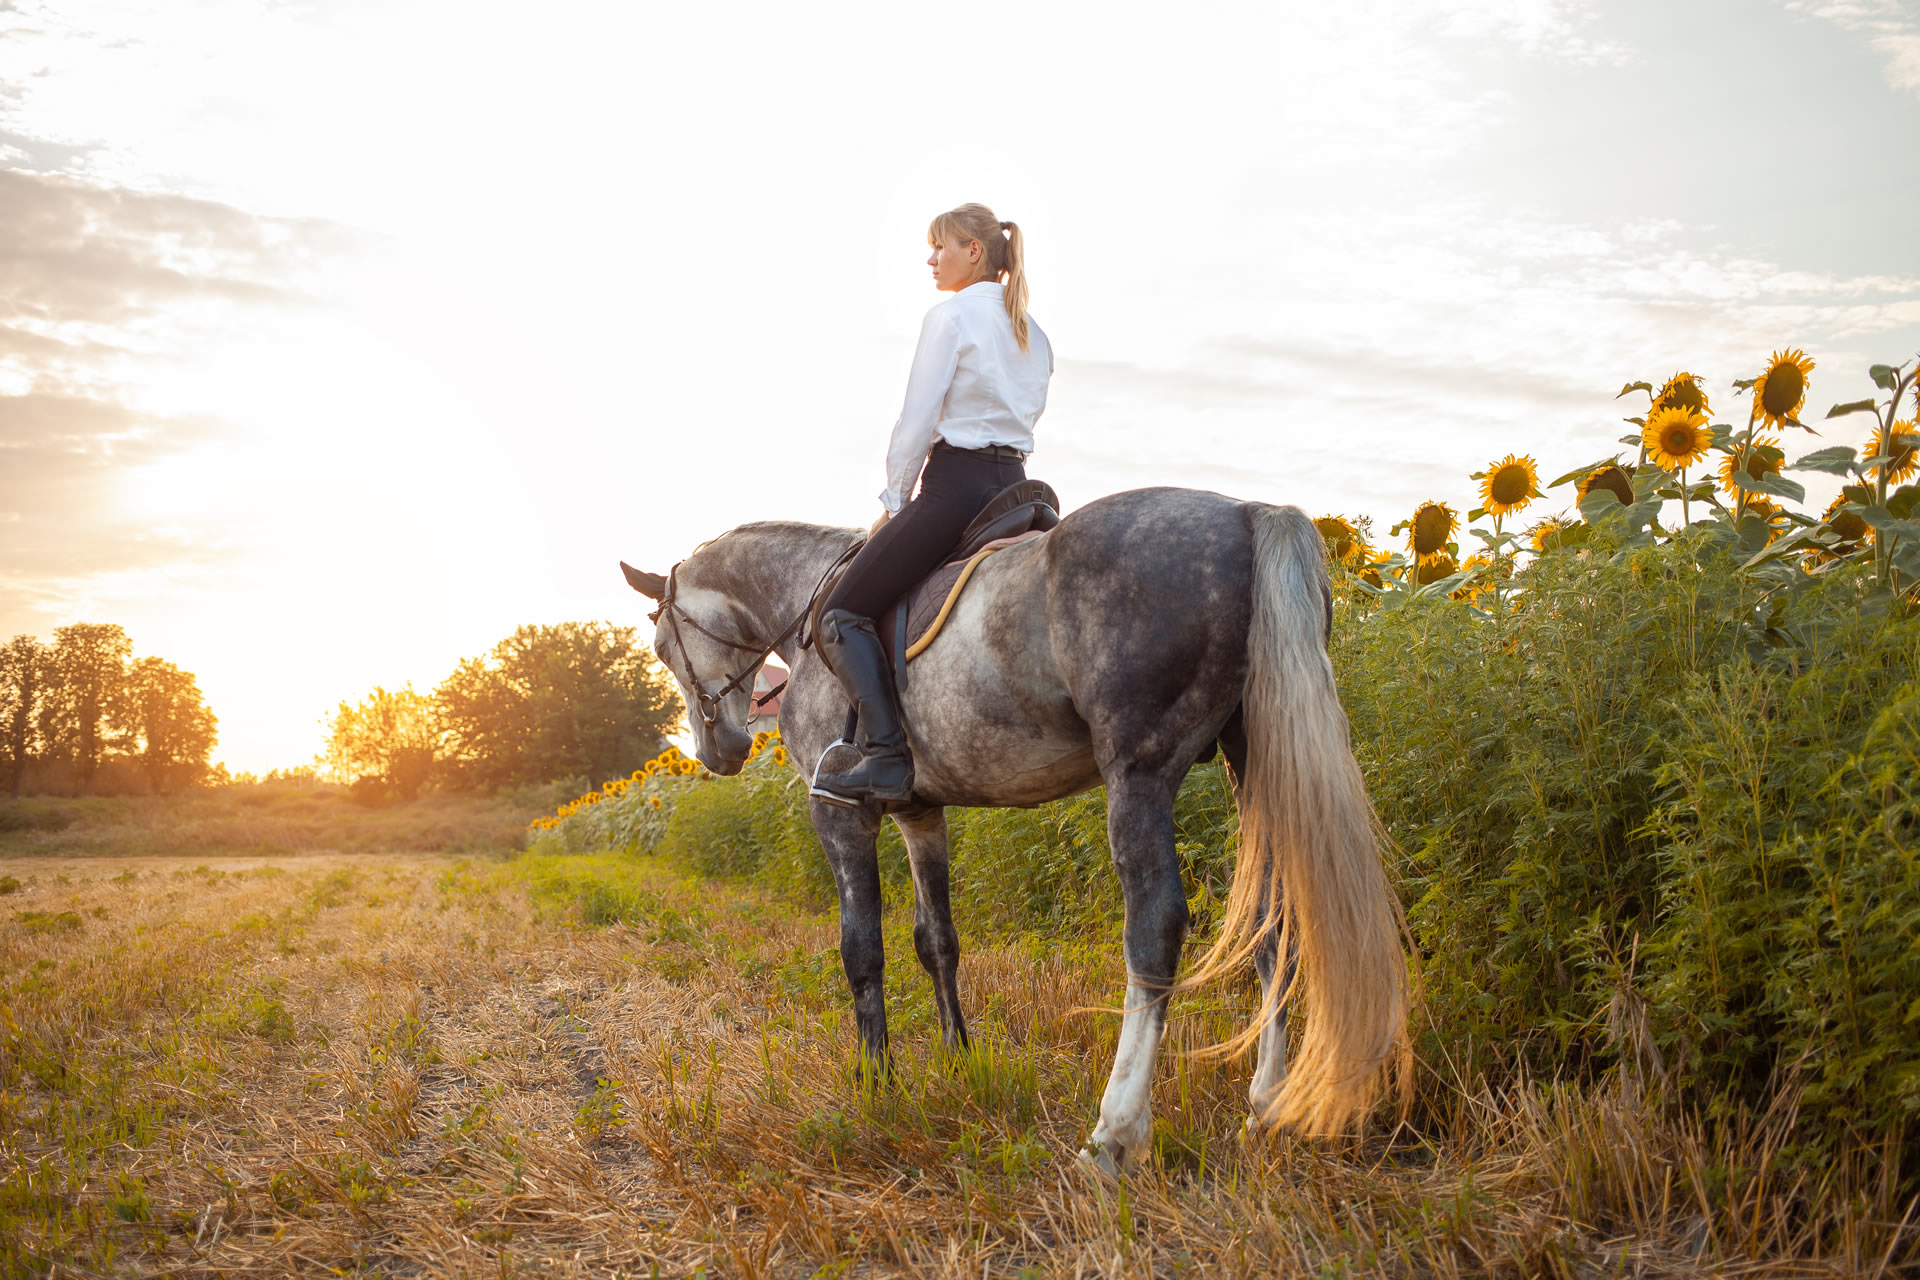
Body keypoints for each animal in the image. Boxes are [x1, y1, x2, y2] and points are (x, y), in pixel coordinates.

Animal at [621, 486, 1409, 1171]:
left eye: (660, 647)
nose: (718, 752)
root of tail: (1248, 513)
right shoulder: (919, 813)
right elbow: (936, 942)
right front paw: (958, 1060)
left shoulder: (841, 815)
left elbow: (862, 951)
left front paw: (878, 1086)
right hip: (1254, 760)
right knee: (1274, 925)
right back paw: (1264, 1109)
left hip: (1140, 772)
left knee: (1155, 928)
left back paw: (1114, 1135)